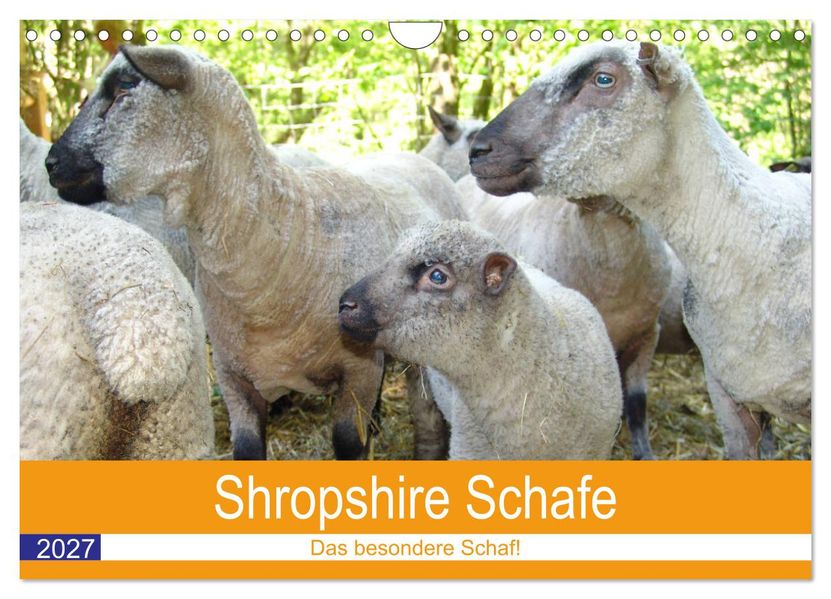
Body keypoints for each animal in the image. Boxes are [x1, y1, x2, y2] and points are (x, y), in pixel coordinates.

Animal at [45, 45, 466, 461]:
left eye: (124, 88)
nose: (52, 164)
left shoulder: (357, 371)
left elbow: (349, 444)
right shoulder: (234, 378)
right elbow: (247, 449)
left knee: (427, 414)